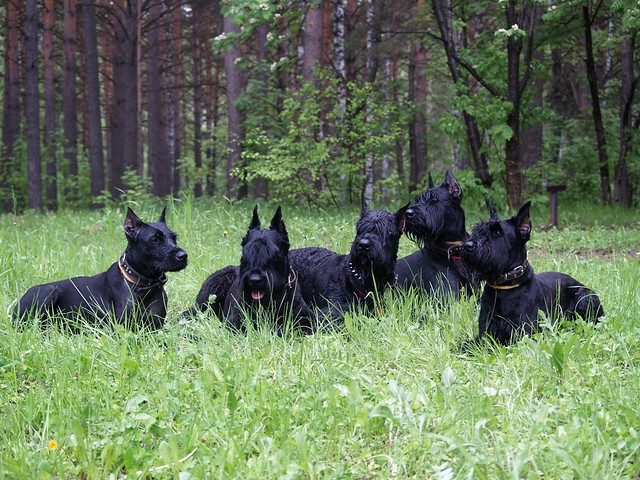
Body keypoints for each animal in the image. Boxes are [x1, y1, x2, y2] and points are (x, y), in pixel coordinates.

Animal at [13, 207, 188, 330]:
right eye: (155, 239)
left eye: (174, 238)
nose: (184, 256)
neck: (143, 284)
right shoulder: (121, 328)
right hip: (47, 292)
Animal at [460, 201, 604, 346]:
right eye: (477, 230)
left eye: (498, 232)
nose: (468, 245)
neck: (504, 288)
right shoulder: (485, 333)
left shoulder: (524, 334)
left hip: (584, 297)